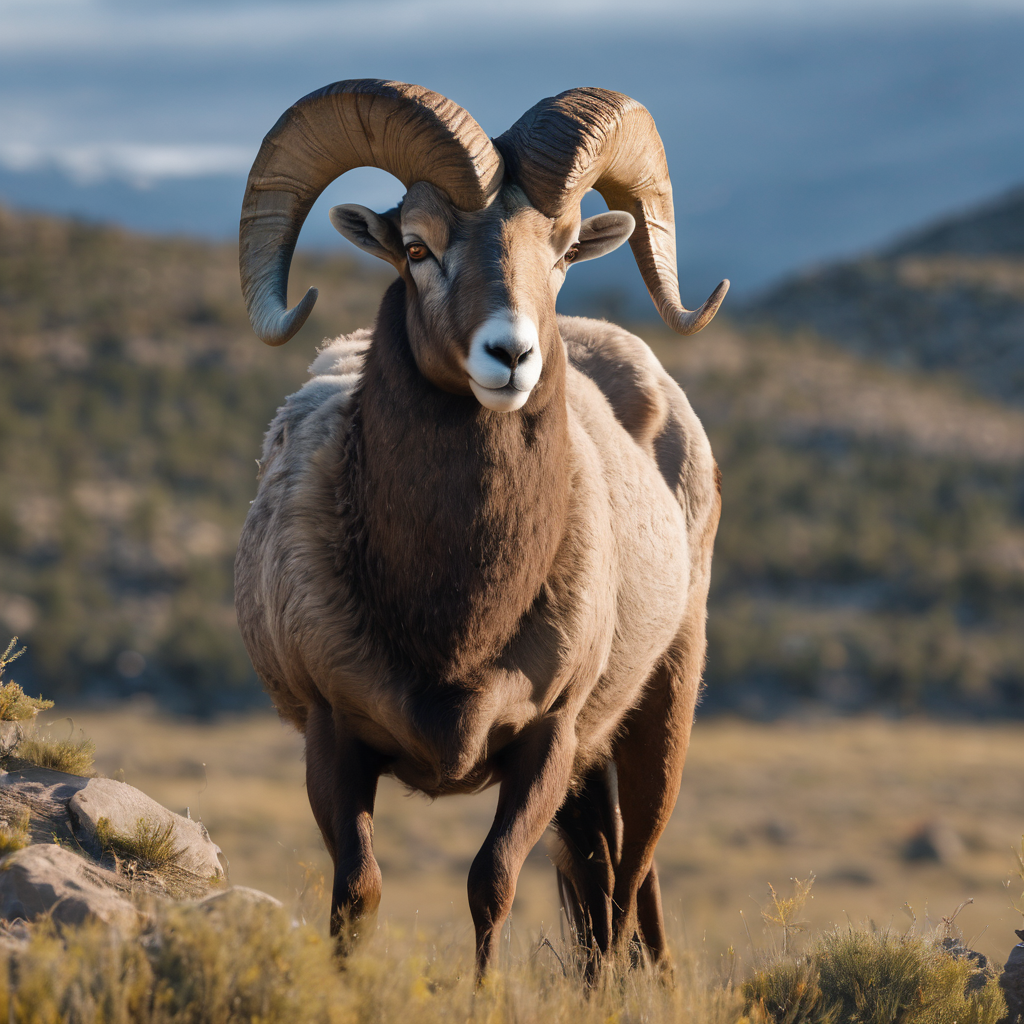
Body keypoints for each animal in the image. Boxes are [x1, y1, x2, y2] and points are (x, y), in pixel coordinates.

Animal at [235, 81, 724, 974]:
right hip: (592, 774)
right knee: (602, 891)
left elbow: (490, 884)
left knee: (629, 888)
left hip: (660, 711)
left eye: (563, 253)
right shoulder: (334, 741)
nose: (511, 356)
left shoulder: (547, 741)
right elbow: (358, 893)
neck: (453, 621)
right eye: (417, 248)